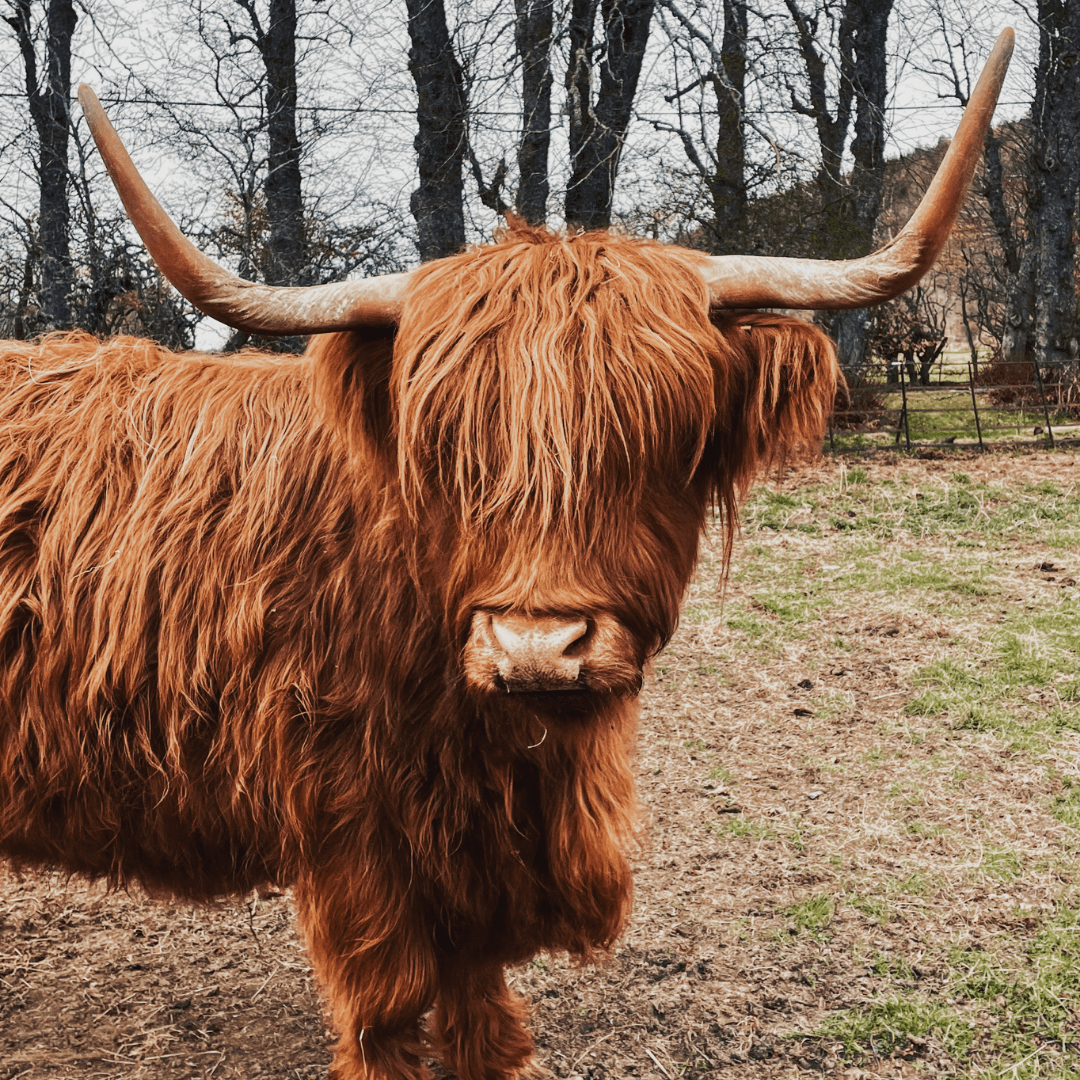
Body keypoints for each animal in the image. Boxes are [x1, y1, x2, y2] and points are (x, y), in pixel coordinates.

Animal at [0, 31, 1011, 1080]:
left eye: (666, 440)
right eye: (448, 448)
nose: (536, 648)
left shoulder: (478, 852)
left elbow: (479, 999)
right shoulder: (349, 829)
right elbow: (389, 1009)